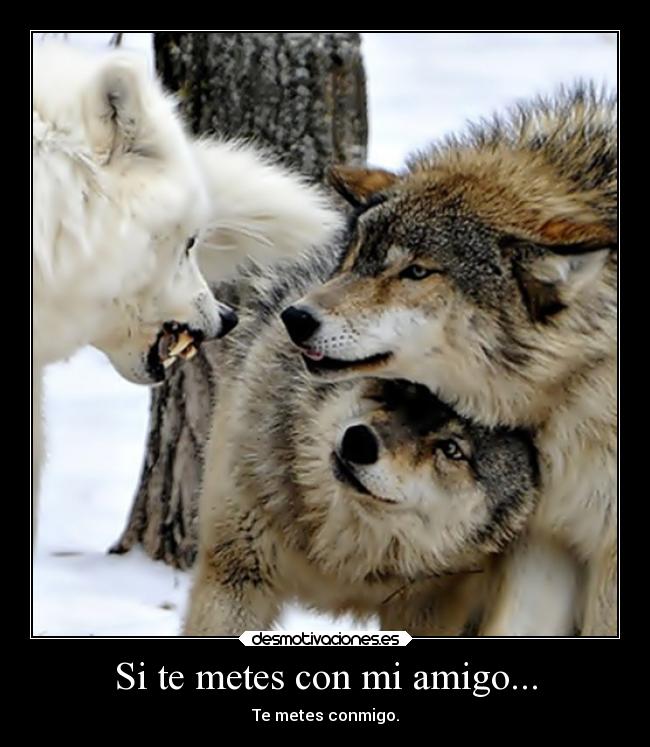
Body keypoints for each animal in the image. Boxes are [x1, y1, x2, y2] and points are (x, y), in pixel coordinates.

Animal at [183, 255, 539, 636]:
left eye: (451, 449)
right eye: (395, 388)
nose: (359, 442)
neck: (339, 562)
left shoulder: (432, 611)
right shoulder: (236, 572)